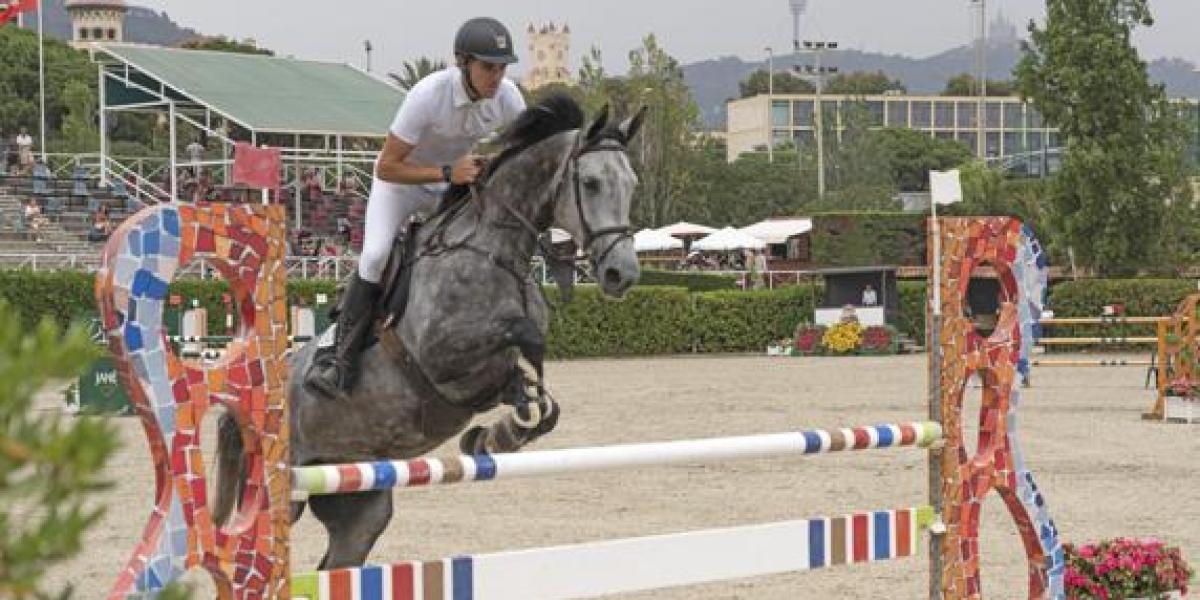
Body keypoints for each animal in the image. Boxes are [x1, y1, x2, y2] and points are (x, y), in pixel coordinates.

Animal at [215, 95, 645, 570]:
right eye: (590, 183)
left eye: (631, 184)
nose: (622, 273)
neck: (494, 252)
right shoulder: (442, 353)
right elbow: (525, 335)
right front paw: (501, 425)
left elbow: (539, 400)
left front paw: (495, 436)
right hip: (283, 492)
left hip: (360, 501)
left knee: (336, 563)